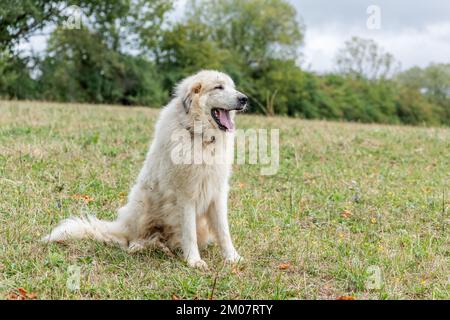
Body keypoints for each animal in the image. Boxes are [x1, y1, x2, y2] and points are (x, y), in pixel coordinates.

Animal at [44, 70, 248, 270]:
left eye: (232, 87)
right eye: (218, 87)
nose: (244, 99)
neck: (200, 137)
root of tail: (122, 226)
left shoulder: (217, 192)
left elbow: (223, 231)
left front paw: (233, 257)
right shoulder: (185, 195)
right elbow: (189, 232)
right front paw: (194, 261)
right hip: (143, 202)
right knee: (135, 239)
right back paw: (144, 246)